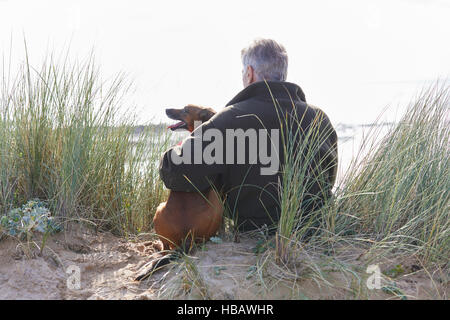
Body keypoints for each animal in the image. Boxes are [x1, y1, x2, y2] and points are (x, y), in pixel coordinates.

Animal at [135, 105, 223, 280]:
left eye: (186, 110)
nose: (166, 109)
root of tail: (188, 237)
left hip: (159, 210)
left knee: (165, 248)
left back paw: (155, 246)